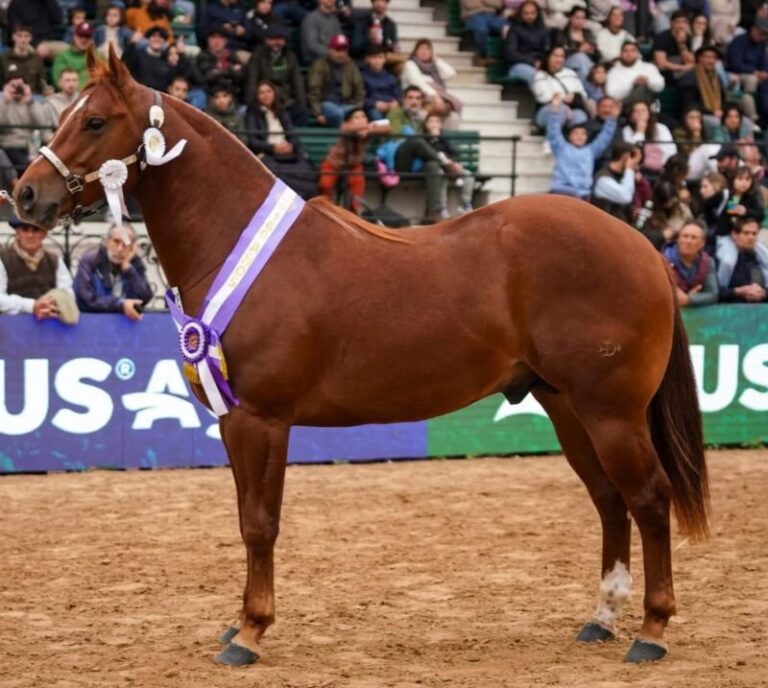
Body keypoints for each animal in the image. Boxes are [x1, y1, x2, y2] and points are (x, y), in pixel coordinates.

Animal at [14, 47, 709, 666]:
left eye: (94, 121)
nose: (23, 196)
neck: (238, 243)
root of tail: (642, 245)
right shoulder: (235, 421)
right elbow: (245, 518)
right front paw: (239, 623)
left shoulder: (262, 420)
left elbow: (259, 523)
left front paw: (249, 633)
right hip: (568, 408)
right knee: (610, 500)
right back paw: (602, 618)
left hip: (612, 413)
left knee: (648, 499)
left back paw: (652, 630)